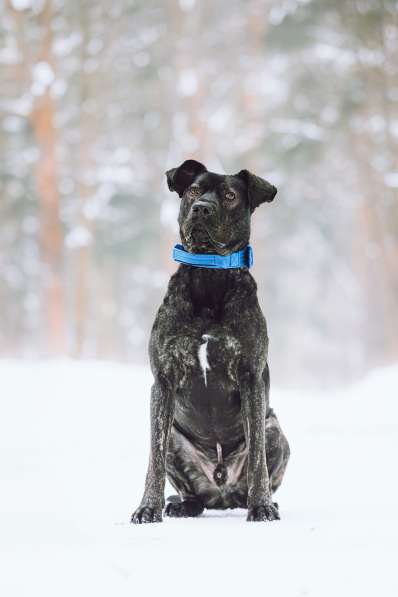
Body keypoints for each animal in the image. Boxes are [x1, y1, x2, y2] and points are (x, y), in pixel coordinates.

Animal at [131, 158, 290, 520]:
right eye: (193, 190)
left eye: (230, 195)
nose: (202, 208)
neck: (209, 273)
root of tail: (222, 494)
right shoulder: (163, 381)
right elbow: (153, 460)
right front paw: (147, 508)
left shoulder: (250, 379)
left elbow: (257, 459)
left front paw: (262, 507)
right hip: (176, 438)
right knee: (192, 493)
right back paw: (182, 505)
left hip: (275, 429)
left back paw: (260, 501)